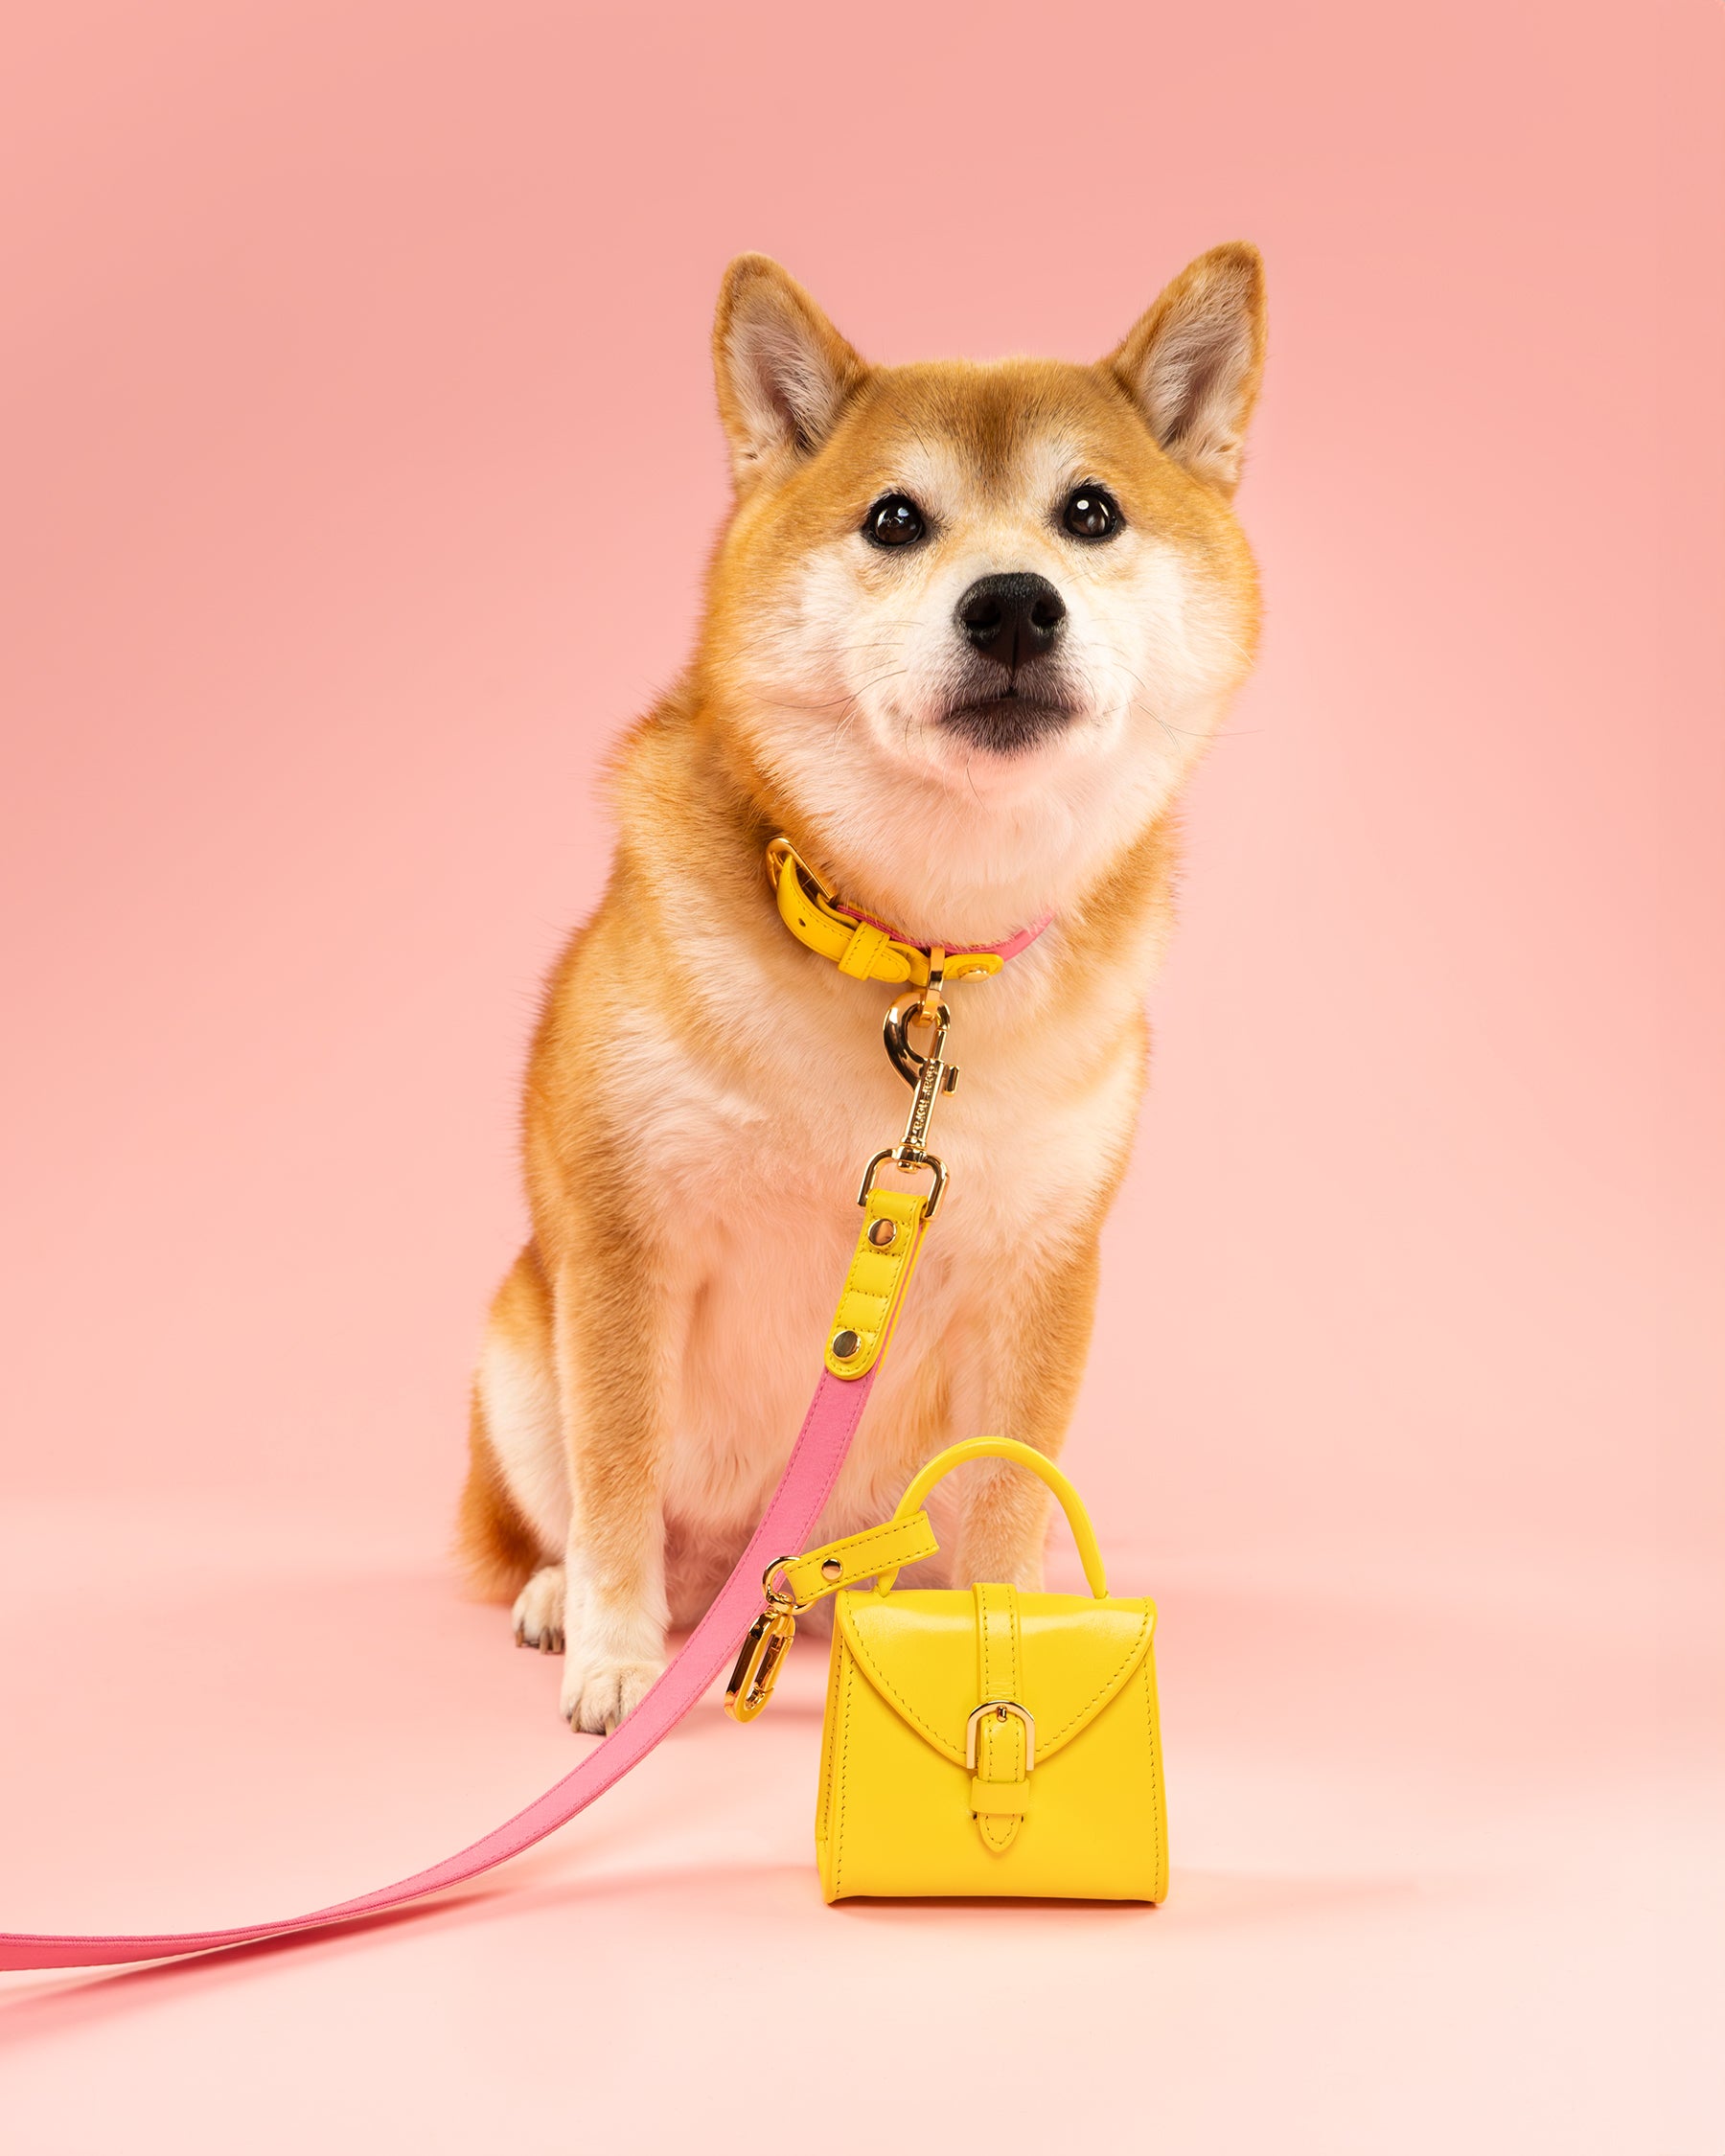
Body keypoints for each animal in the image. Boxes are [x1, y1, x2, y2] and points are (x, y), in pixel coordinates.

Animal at [457, 252, 1268, 1733]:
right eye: (895, 517)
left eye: (1091, 511)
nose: (1012, 601)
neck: (914, 941)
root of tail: (774, 1577)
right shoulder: (625, 1243)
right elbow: (617, 1482)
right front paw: (618, 1658)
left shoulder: (1041, 1273)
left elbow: (1007, 1500)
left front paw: (1012, 1641)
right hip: (519, 1353)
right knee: (575, 1517)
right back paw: (567, 1603)